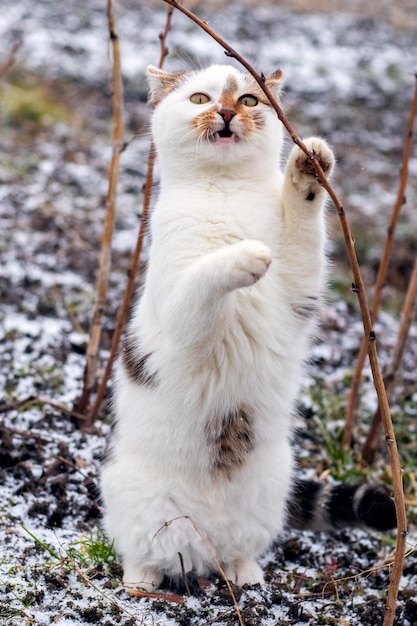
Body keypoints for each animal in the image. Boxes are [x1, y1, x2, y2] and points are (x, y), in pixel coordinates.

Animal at [100, 63, 394, 588]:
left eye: (251, 101)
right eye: (200, 98)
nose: (226, 113)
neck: (226, 196)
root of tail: (203, 553)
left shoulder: (297, 289)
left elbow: (304, 230)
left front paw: (309, 165)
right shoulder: (183, 321)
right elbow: (206, 276)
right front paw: (245, 255)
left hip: (268, 492)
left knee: (237, 551)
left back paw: (246, 575)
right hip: (140, 504)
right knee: (143, 554)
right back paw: (142, 584)